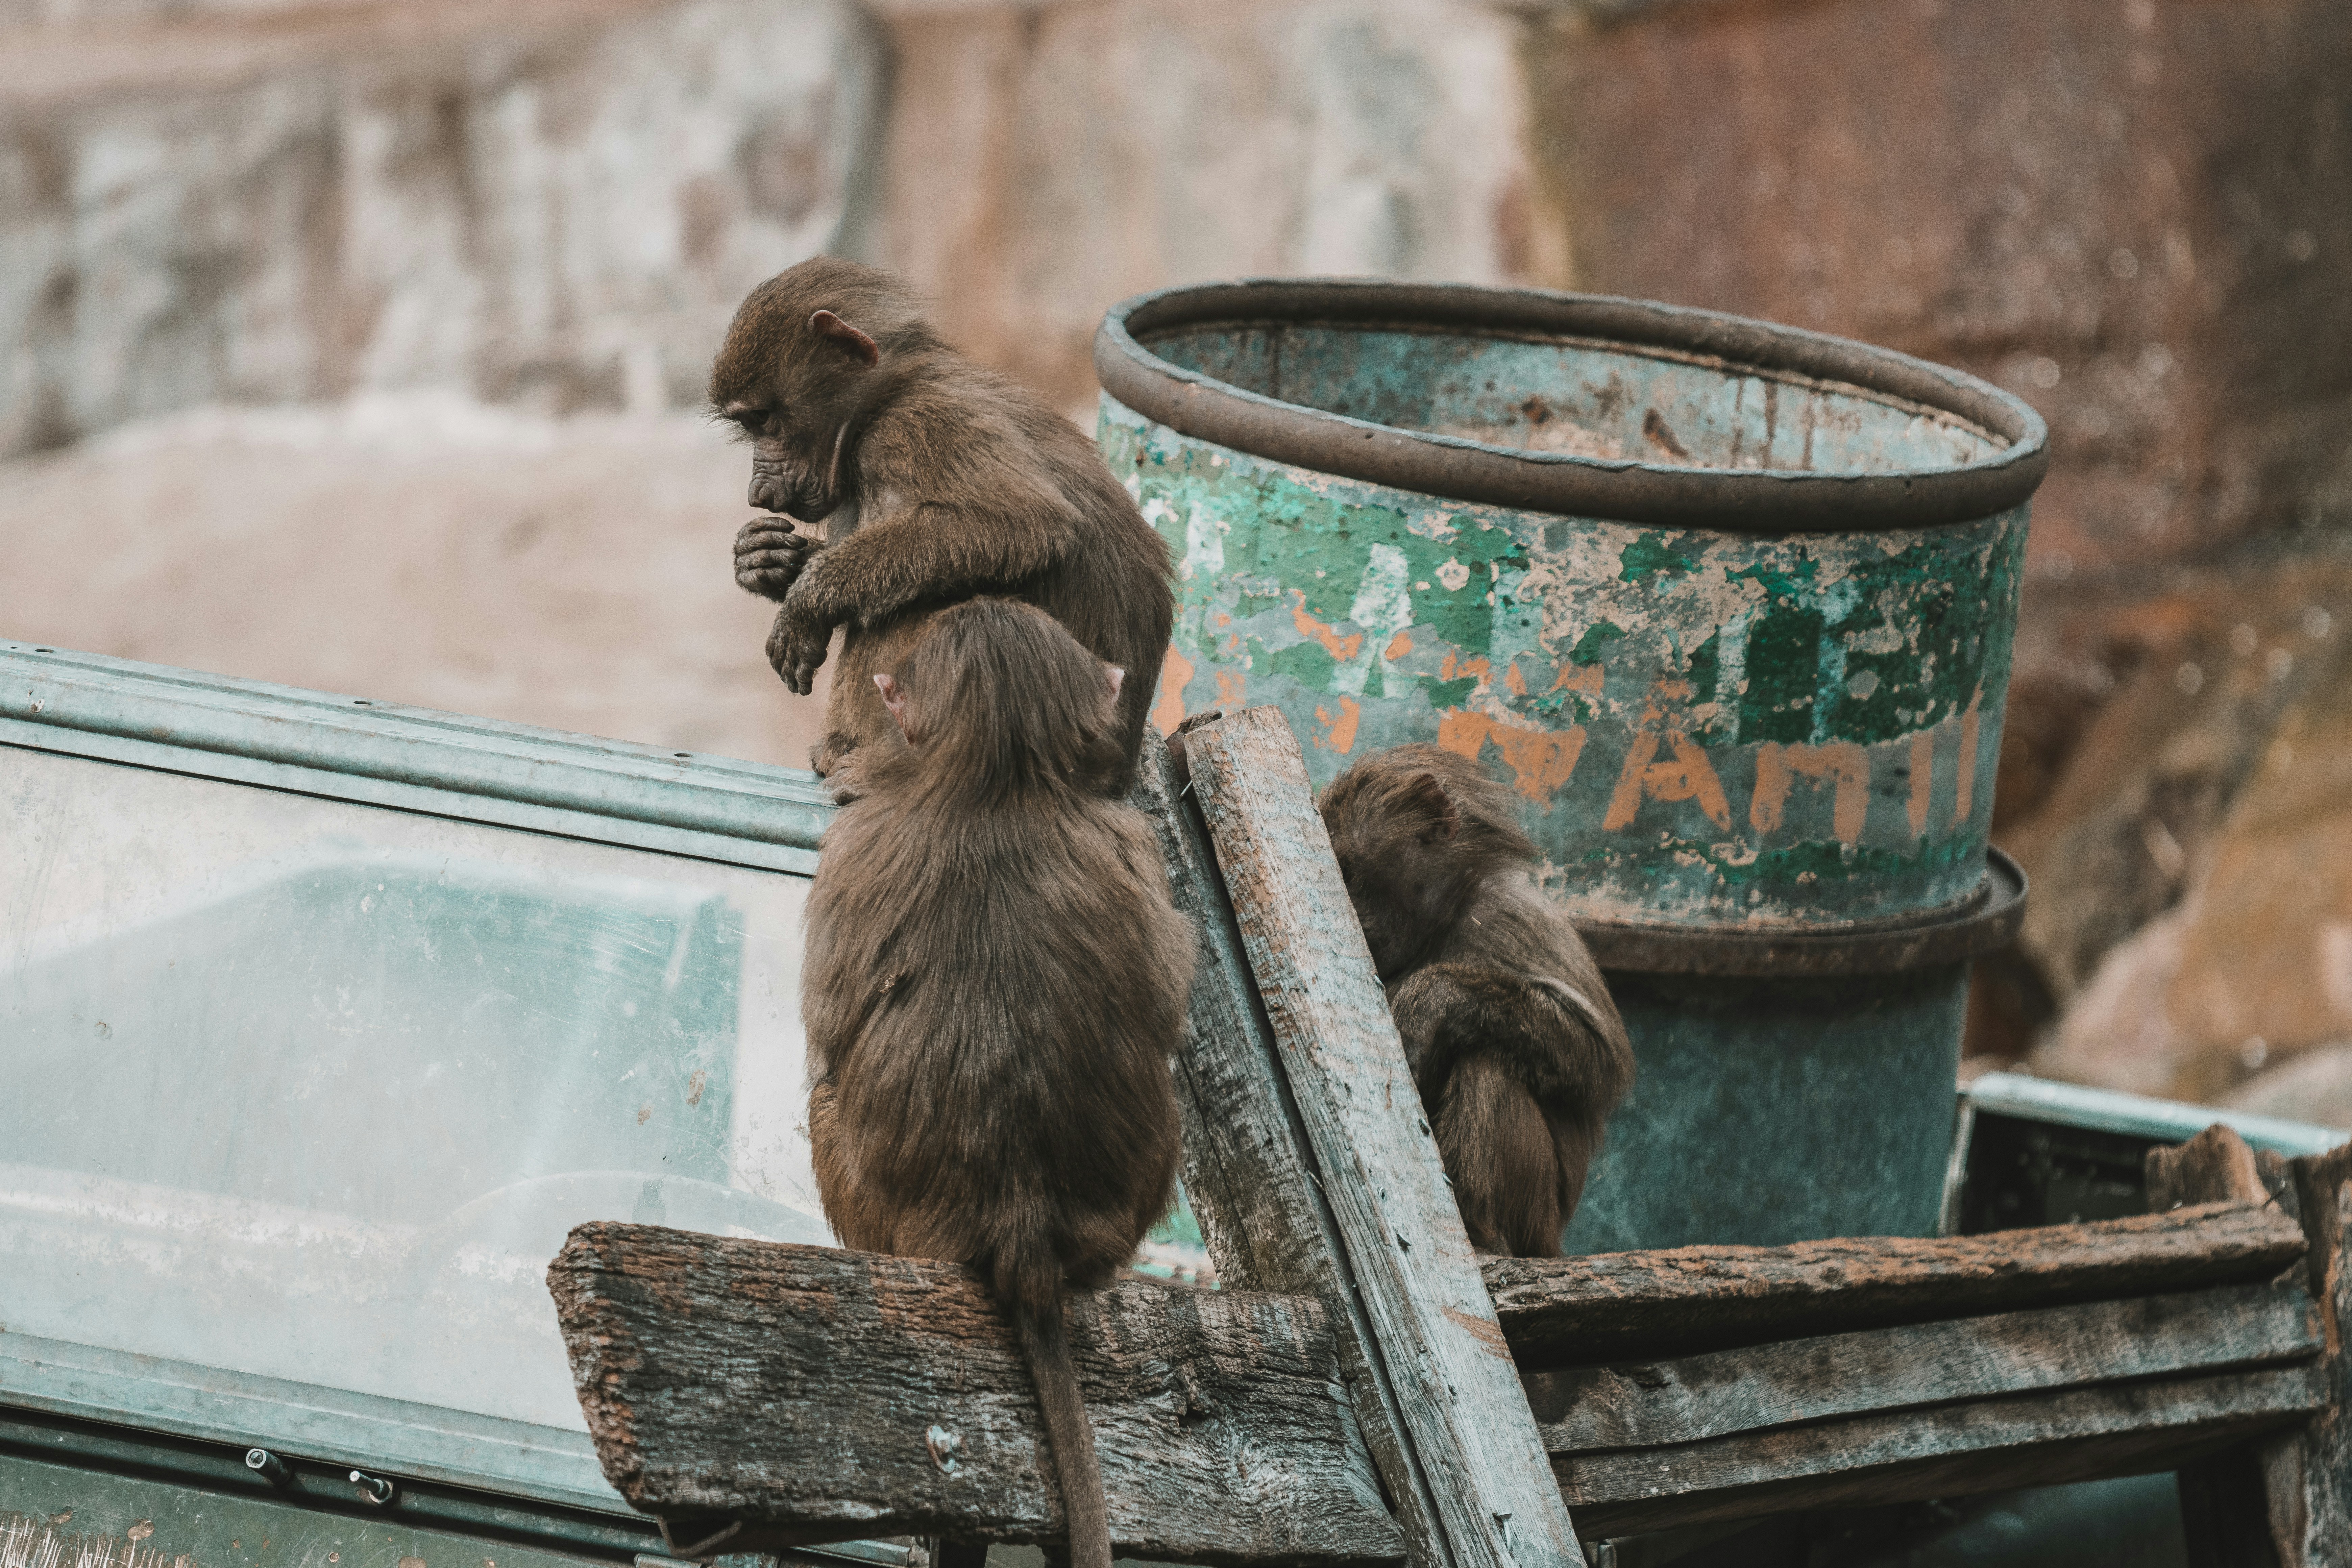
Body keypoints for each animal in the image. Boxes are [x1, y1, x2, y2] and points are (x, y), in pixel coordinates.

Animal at [714, 256, 1174, 799]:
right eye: (751, 425)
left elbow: (1025, 524)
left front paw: (805, 603)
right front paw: (765, 560)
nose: (758, 493)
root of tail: (1118, 772)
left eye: (764, 420)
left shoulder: (919, 425)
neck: (889, 395)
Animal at [799, 597, 1194, 1568]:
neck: (999, 780)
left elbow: (830, 1033)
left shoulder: (853, 844)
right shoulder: (1129, 839)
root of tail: (1024, 1227)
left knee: (826, 1103)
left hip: (885, 1213)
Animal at [1318, 743, 1633, 1257]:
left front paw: (1428, 998)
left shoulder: (1507, 915)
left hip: (1537, 1217)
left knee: (1488, 1066)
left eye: (1346, 868)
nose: (1349, 915)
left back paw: (1483, 1236)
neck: (1444, 920)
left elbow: (1601, 1064)